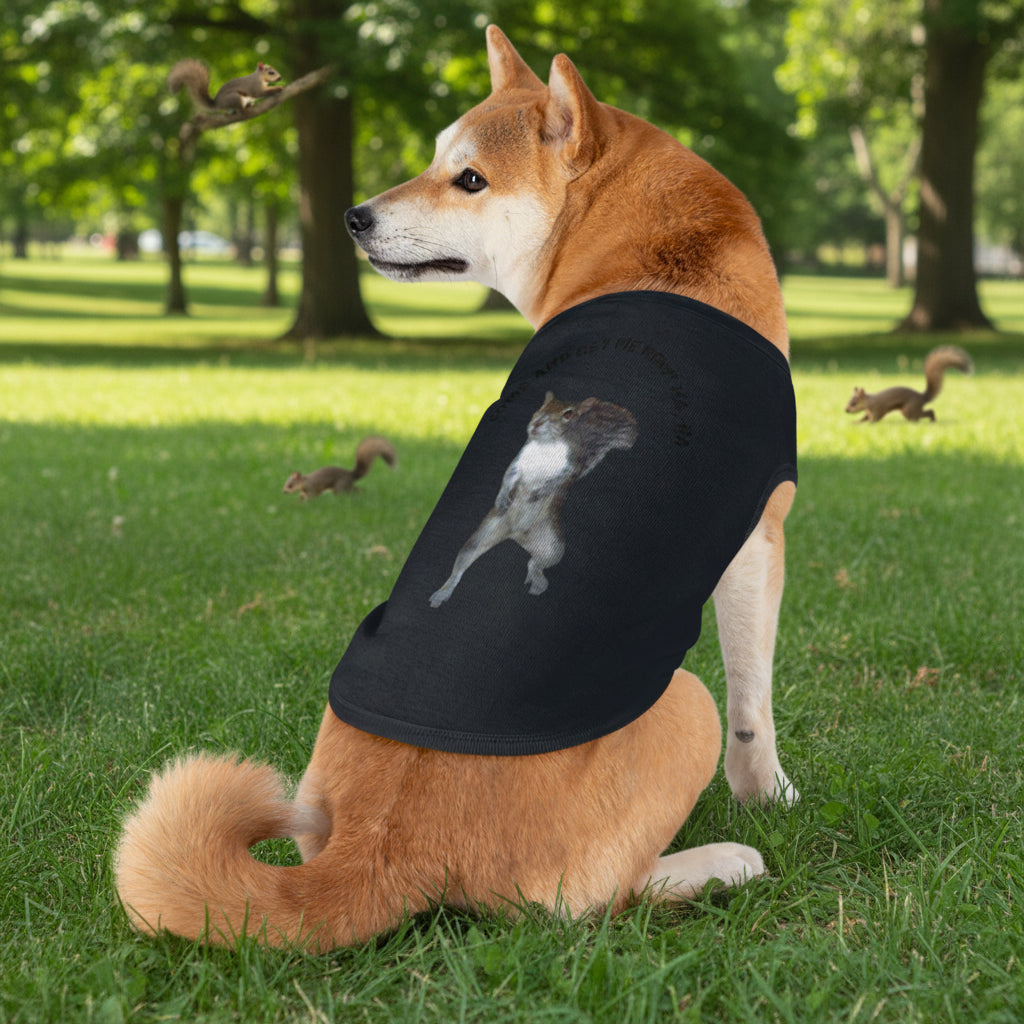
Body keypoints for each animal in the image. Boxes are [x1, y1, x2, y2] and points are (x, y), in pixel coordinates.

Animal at [429, 392, 638, 606]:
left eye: (569, 414)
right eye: (541, 407)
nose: (538, 422)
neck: (545, 446)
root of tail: (515, 534)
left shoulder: (570, 467)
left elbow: (557, 482)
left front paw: (538, 493)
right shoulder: (519, 462)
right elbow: (508, 477)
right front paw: (502, 498)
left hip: (552, 547)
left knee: (535, 563)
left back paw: (537, 581)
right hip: (484, 535)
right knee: (463, 562)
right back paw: (442, 593)